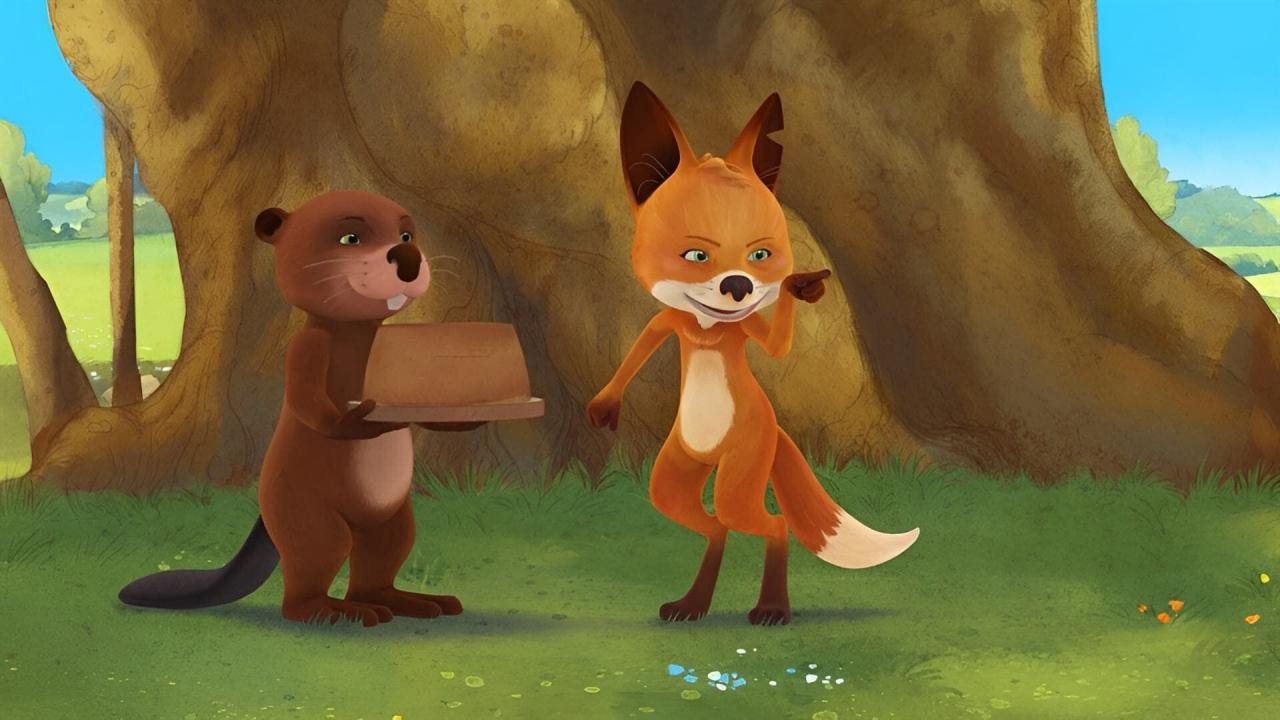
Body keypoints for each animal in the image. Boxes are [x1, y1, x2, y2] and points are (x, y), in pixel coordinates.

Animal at [588, 82, 920, 626]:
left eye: (760, 255)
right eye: (696, 255)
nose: (739, 285)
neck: (706, 330)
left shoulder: (742, 330)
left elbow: (777, 347)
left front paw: (799, 289)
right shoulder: (668, 322)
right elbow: (640, 348)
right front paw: (604, 404)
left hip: (741, 470)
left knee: (769, 522)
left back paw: (771, 609)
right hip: (675, 476)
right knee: (713, 523)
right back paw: (693, 604)